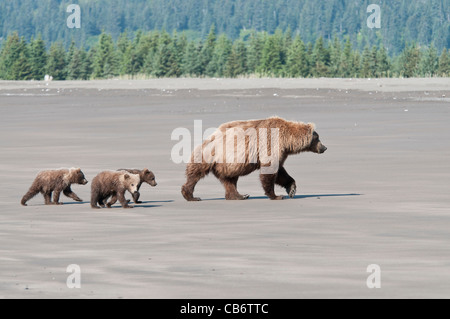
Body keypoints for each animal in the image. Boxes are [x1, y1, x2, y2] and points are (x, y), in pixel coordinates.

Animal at [180, 117, 326, 202]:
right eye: (318, 138)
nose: (324, 147)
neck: (287, 140)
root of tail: (208, 139)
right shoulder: (271, 144)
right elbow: (270, 171)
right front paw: (276, 195)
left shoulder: (281, 152)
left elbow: (281, 172)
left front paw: (291, 189)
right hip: (213, 155)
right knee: (196, 172)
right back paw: (191, 195)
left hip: (227, 165)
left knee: (229, 180)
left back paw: (239, 195)